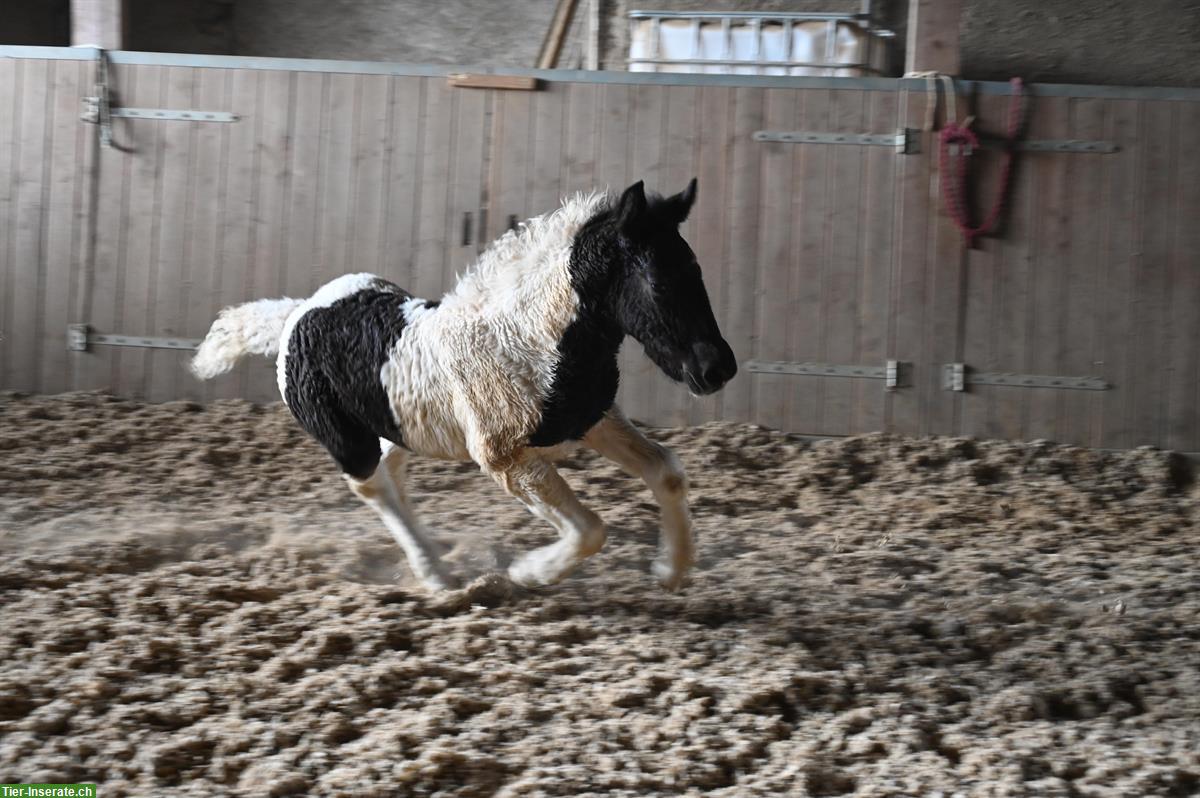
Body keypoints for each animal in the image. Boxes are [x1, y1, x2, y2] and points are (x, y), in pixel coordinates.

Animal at [192, 180, 734, 590]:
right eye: (658, 282)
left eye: (697, 271)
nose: (717, 370)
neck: (525, 339)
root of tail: (297, 314)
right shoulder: (503, 459)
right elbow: (589, 531)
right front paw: (528, 573)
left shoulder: (593, 420)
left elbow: (666, 471)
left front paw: (671, 570)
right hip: (348, 440)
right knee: (371, 484)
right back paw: (434, 575)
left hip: (401, 424)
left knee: (393, 472)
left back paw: (436, 559)